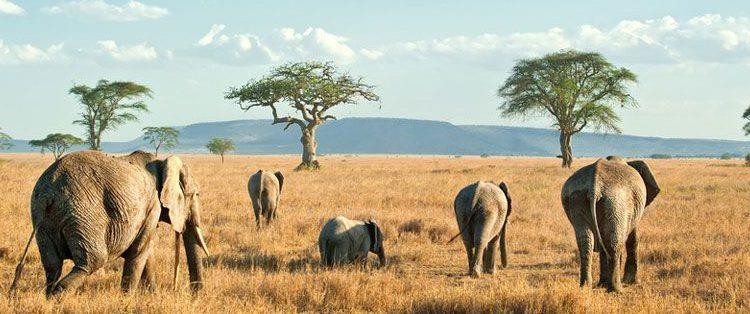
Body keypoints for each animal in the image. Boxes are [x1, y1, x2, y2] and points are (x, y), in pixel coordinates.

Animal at [9, 150, 212, 296]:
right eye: (194, 195)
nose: (195, 295)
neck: (162, 162)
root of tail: (49, 192)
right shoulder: (152, 205)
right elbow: (139, 252)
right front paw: (127, 300)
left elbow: (145, 252)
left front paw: (152, 297)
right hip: (83, 213)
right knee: (92, 261)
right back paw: (58, 297)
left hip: (42, 219)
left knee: (52, 265)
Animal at [560, 156, 660, 294]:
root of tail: (594, 187)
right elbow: (632, 238)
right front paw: (632, 282)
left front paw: (602, 284)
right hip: (615, 202)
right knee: (614, 242)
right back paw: (616, 290)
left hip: (577, 198)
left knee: (585, 241)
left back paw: (585, 287)